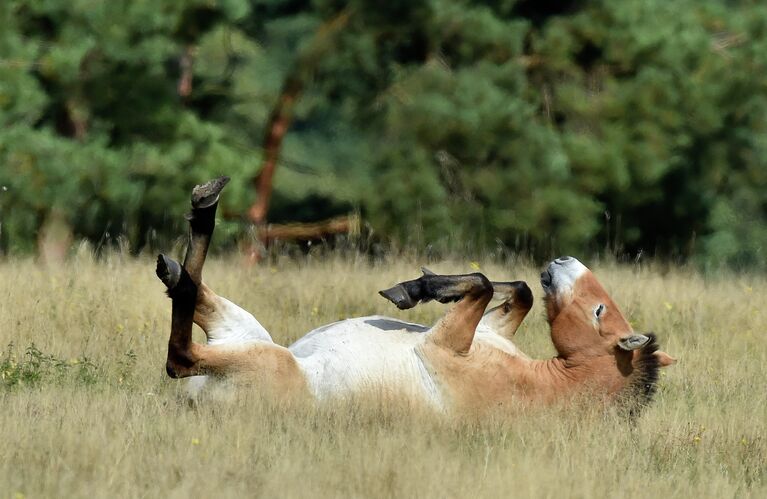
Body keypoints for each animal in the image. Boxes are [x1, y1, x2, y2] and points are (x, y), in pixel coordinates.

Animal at [158, 178, 680, 412]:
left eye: (599, 311)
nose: (564, 261)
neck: (542, 385)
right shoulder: (489, 330)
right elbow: (519, 290)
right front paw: (420, 286)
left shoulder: (443, 346)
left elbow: (484, 283)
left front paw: (415, 289)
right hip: (247, 332)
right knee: (195, 296)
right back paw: (181, 255)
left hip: (260, 358)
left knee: (180, 355)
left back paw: (202, 213)